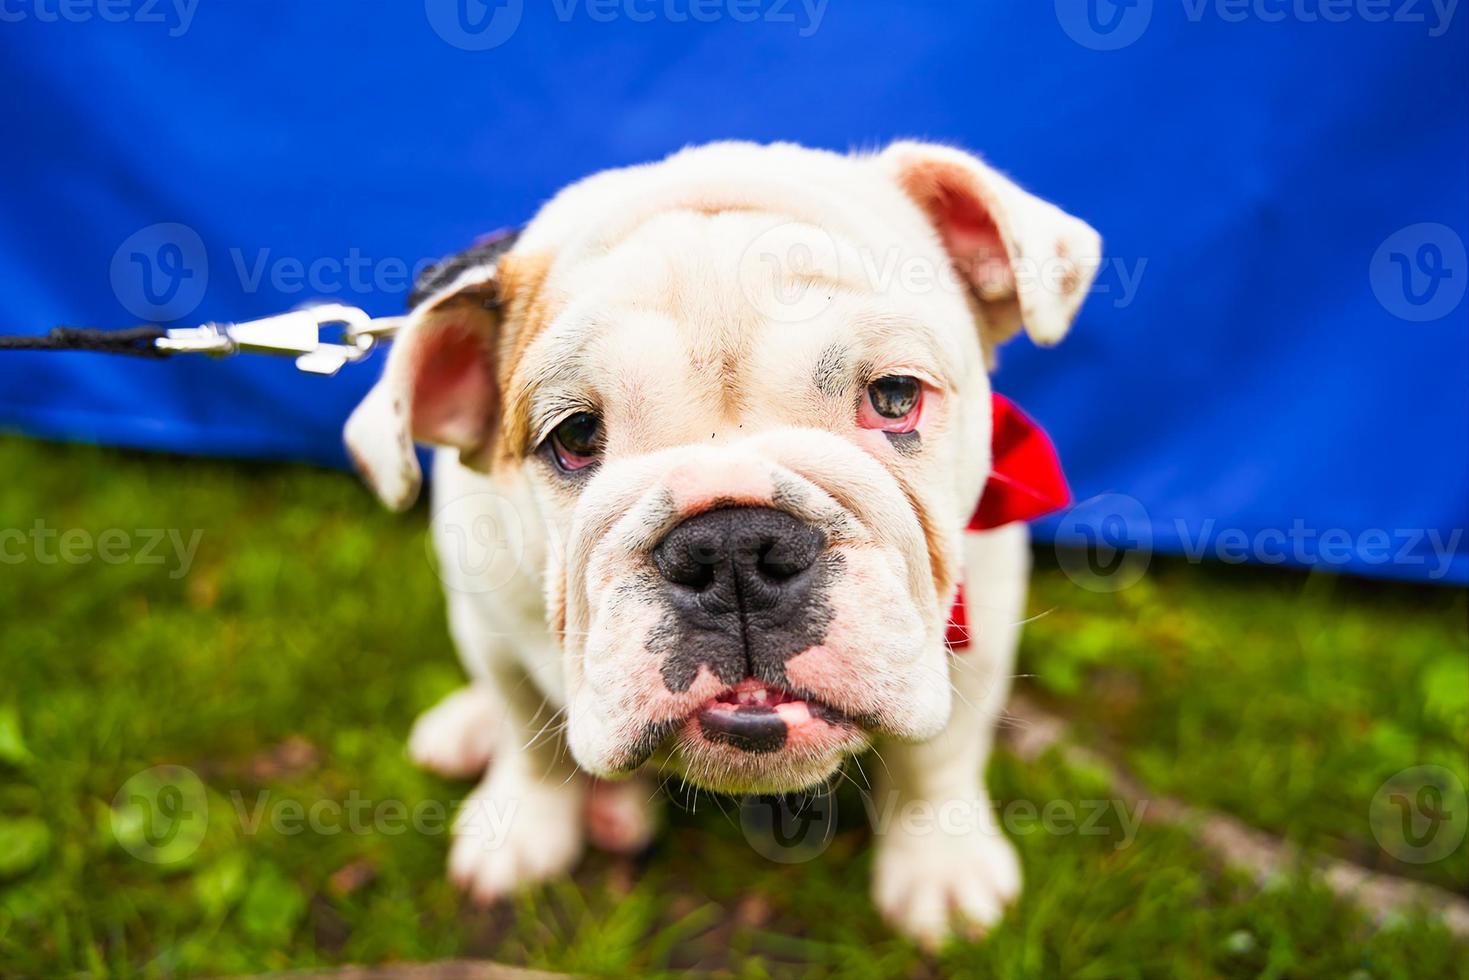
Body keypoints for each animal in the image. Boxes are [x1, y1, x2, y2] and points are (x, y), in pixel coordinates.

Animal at [346, 139, 1104, 952]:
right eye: (574, 438)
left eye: (896, 396)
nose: (734, 549)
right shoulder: (488, 625)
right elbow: (529, 738)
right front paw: (521, 828)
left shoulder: (979, 612)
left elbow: (941, 756)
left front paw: (943, 869)